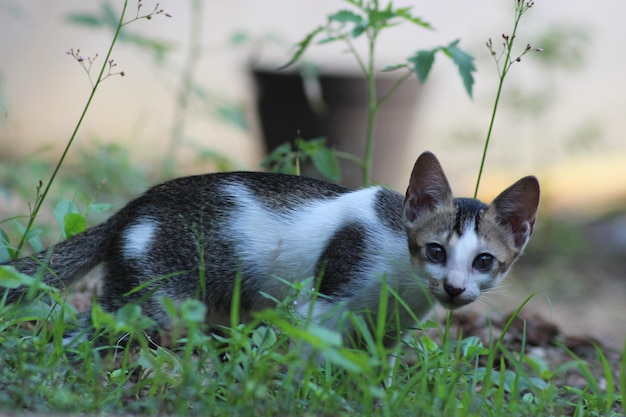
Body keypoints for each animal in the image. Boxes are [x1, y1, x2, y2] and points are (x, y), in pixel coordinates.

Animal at [0, 150, 536, 352]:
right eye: (436, 251)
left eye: (484, 261)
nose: (454, 288)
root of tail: (131, 210)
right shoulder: (323, 299)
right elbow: (307, 348)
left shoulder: (384, 331)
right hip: (150, 297)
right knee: (93, 327)